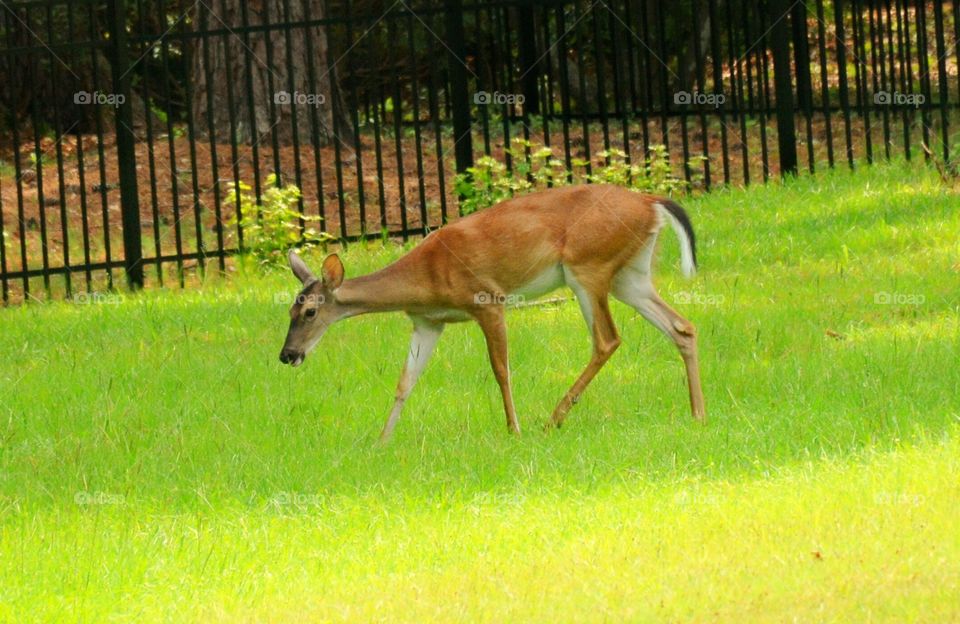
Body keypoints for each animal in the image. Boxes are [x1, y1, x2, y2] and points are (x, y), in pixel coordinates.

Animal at [278, 184, 704, 438]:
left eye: (310, 312)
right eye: (289, 311)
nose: (287, 355)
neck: (426, 278)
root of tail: (651, 202)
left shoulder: (487, 300)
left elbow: (500, 369)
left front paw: (513, 428)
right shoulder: (427, 323)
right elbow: (405, 382)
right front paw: (382, 441)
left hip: (588, 266)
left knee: (607, 339)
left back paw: (553, 418)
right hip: (630, 275)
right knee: (682, 326)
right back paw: (698, 413)